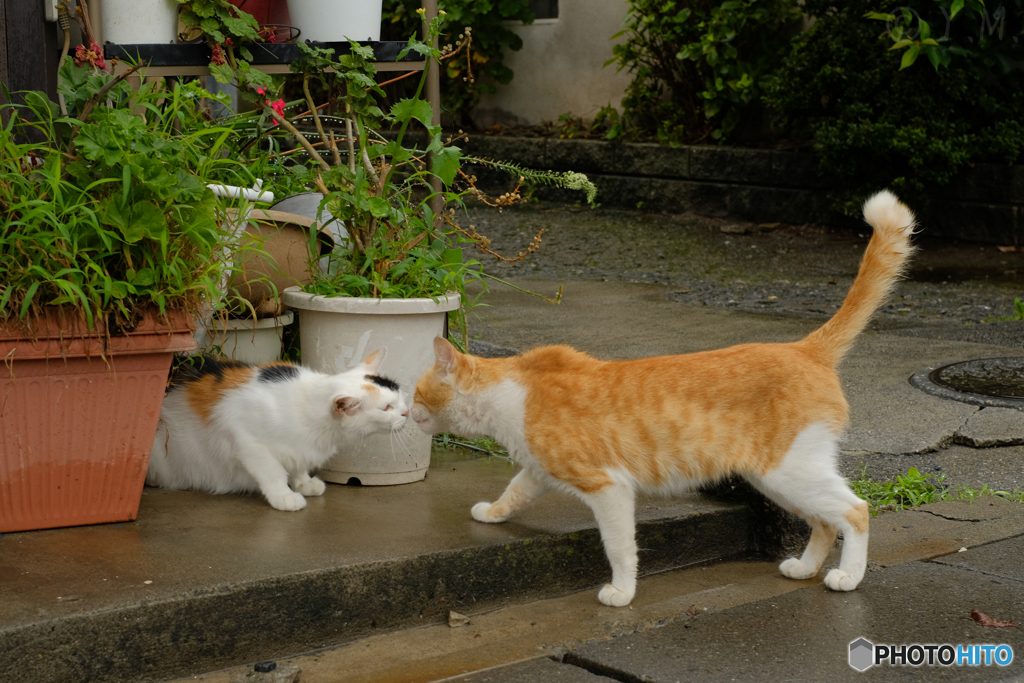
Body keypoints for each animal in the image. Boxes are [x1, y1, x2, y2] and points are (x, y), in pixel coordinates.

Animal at [149, 350, 405, 509]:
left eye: (399, 394)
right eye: (386, 408)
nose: (406, 412)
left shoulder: (300, 448)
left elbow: (298, 464)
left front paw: (303, 483)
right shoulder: (247, 440)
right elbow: (273, 472)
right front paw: (284, 496)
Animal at [411, 189, 917, 606]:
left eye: (416, 390)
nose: (407, 411)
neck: (512, 392)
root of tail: (804, 347)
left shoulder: (608, 487)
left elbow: (620, 547)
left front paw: (621, 592)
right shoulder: (539, 470)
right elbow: (513, 492)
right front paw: (492, 514)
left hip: (790, 472)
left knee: (855, 511)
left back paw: (847, 576)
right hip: (775, 479)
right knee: (825, 521)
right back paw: (806, 567)